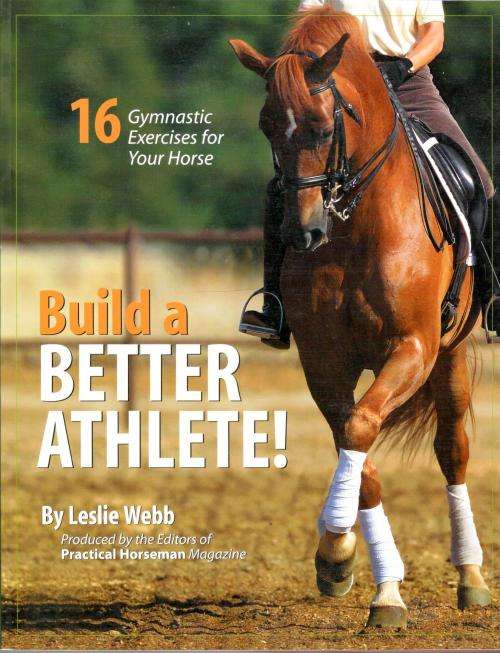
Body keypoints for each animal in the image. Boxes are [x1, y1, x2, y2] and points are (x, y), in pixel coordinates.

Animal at [229, 7, 491, 628]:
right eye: (267, 127)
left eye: (325, 127)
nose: (304, 233)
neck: (355, 225)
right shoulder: (324, 362)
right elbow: (356, 443)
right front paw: (350, 565)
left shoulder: (414, 348)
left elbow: (363, 428)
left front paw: (343, 554)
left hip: (449, 358)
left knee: (453, 451)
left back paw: (471, 577)